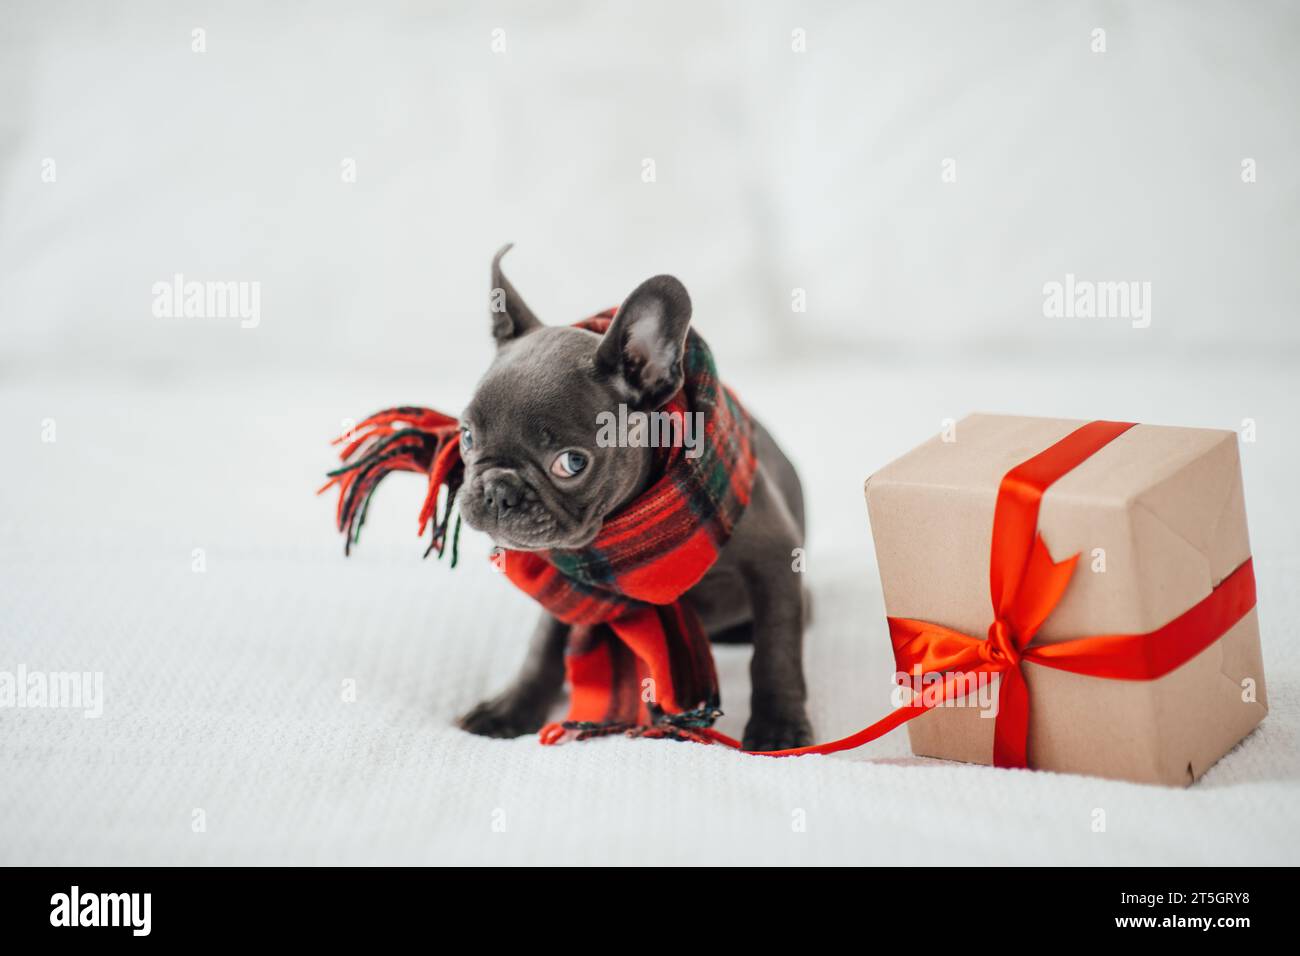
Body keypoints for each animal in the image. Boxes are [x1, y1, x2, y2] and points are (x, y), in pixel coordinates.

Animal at [452, 247, 806, 754]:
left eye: (571, 463)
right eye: (466, 436)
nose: (498, 488)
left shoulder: (775, 557)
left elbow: (776, 648)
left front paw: (779, 727)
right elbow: (544, 644)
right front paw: (512, 708)